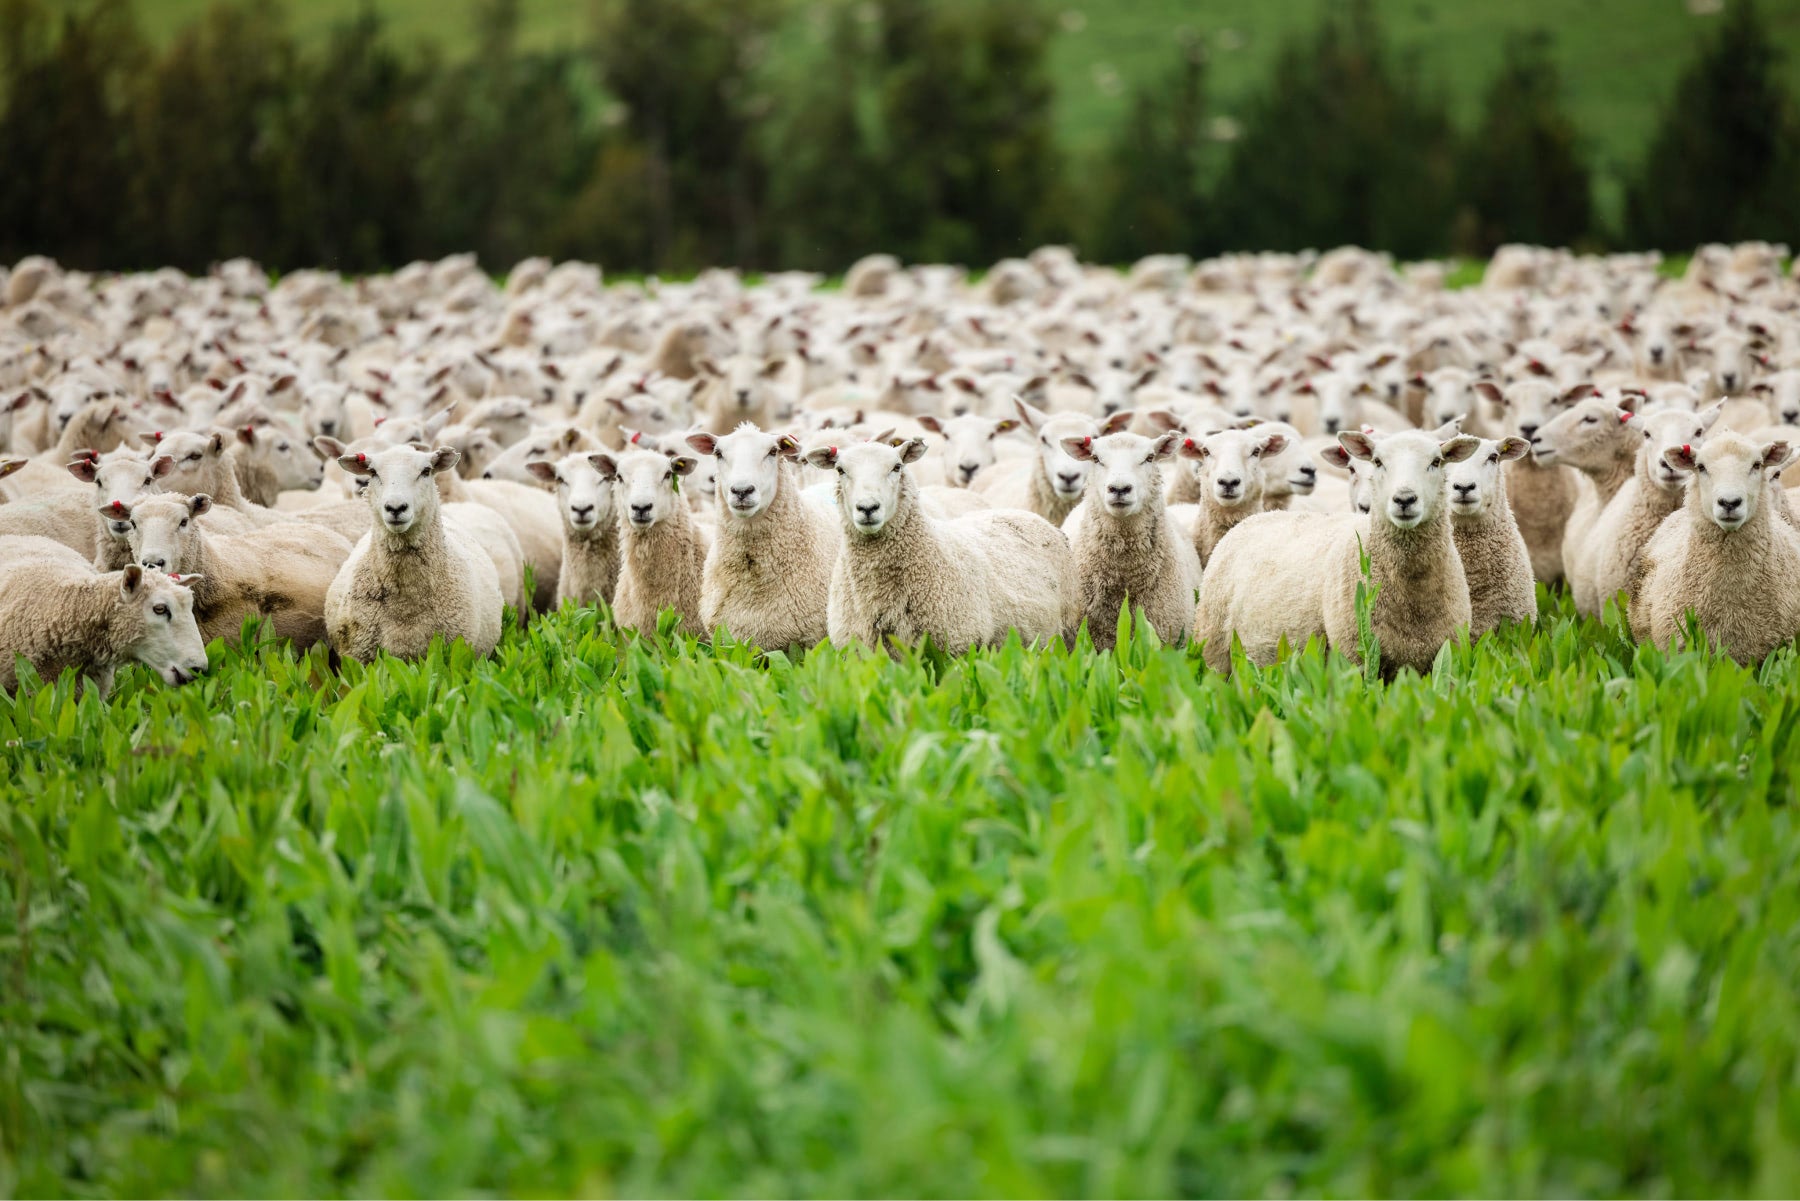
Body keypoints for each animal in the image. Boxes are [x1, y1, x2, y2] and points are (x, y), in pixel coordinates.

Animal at [326, 444, 505, 661]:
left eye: (426, 471)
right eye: (373, 472)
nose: (395, 508)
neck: (406, 604)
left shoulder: (455, 653)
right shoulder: (357, 658)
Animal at [806, 438, 1078, 654]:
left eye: (897, 467)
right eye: (840, 470)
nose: (867, 508)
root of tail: (1028, 515)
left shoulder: (955, 651)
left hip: (1072, 633)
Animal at [1197, 430, 1479, 679]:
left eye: (1436, 462)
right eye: (1378, 461)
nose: (1404, 499)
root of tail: (1259, 516)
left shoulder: (1442, 658)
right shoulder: (1355, 657)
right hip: (1213, 646)